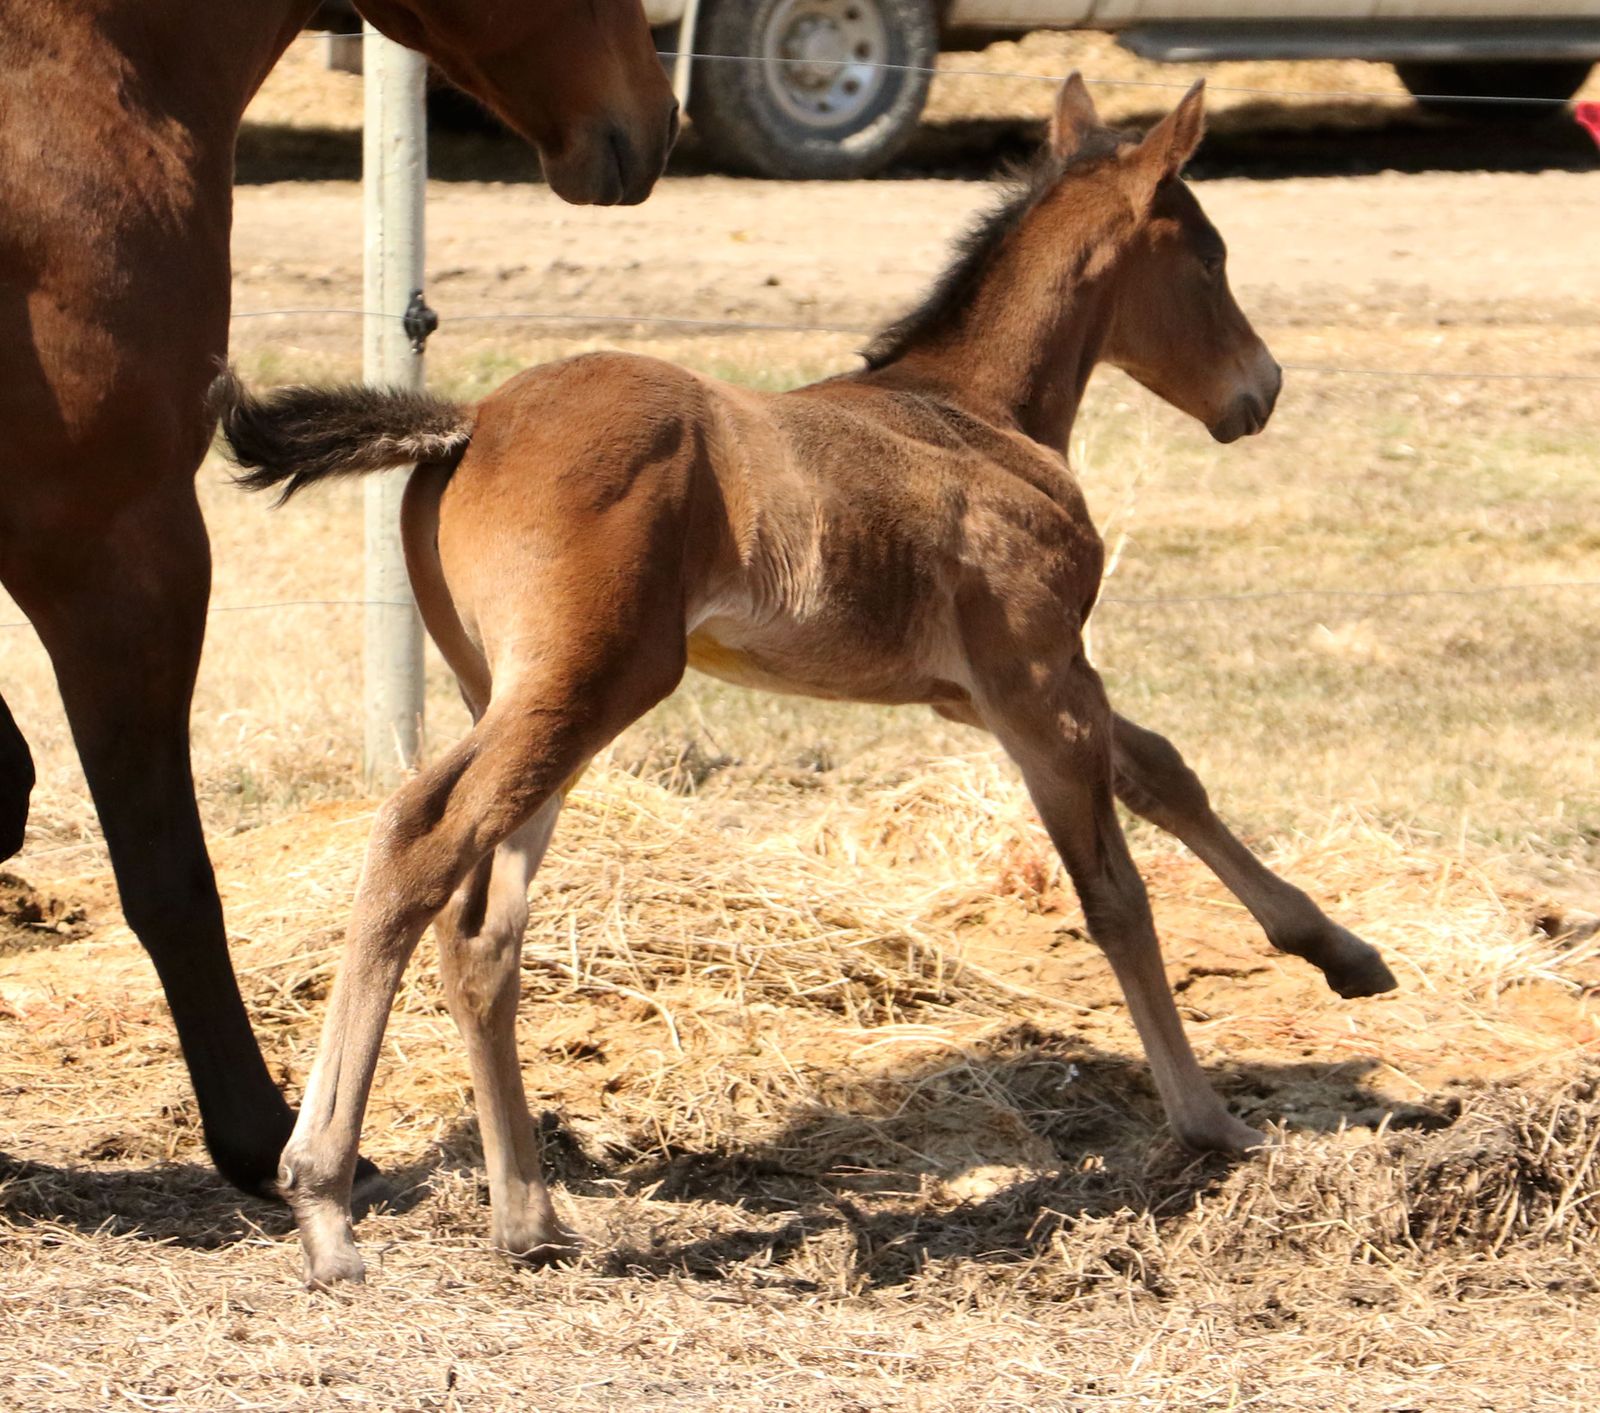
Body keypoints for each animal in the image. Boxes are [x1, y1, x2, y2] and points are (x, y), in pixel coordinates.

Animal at [217, 75, 1399, 1286]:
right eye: (1209, 256)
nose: (1260, 390)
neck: (974, 413)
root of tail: (471, 422)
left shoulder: (985, 692)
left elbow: (1164, 770)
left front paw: (1341, 952)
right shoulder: (1038, 679)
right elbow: (1116, 893)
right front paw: (1210, 1120)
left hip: (511, 693)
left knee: (481, 931)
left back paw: (529, 1218)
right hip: (584, 685)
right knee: (417, 842)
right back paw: (325, 1204)